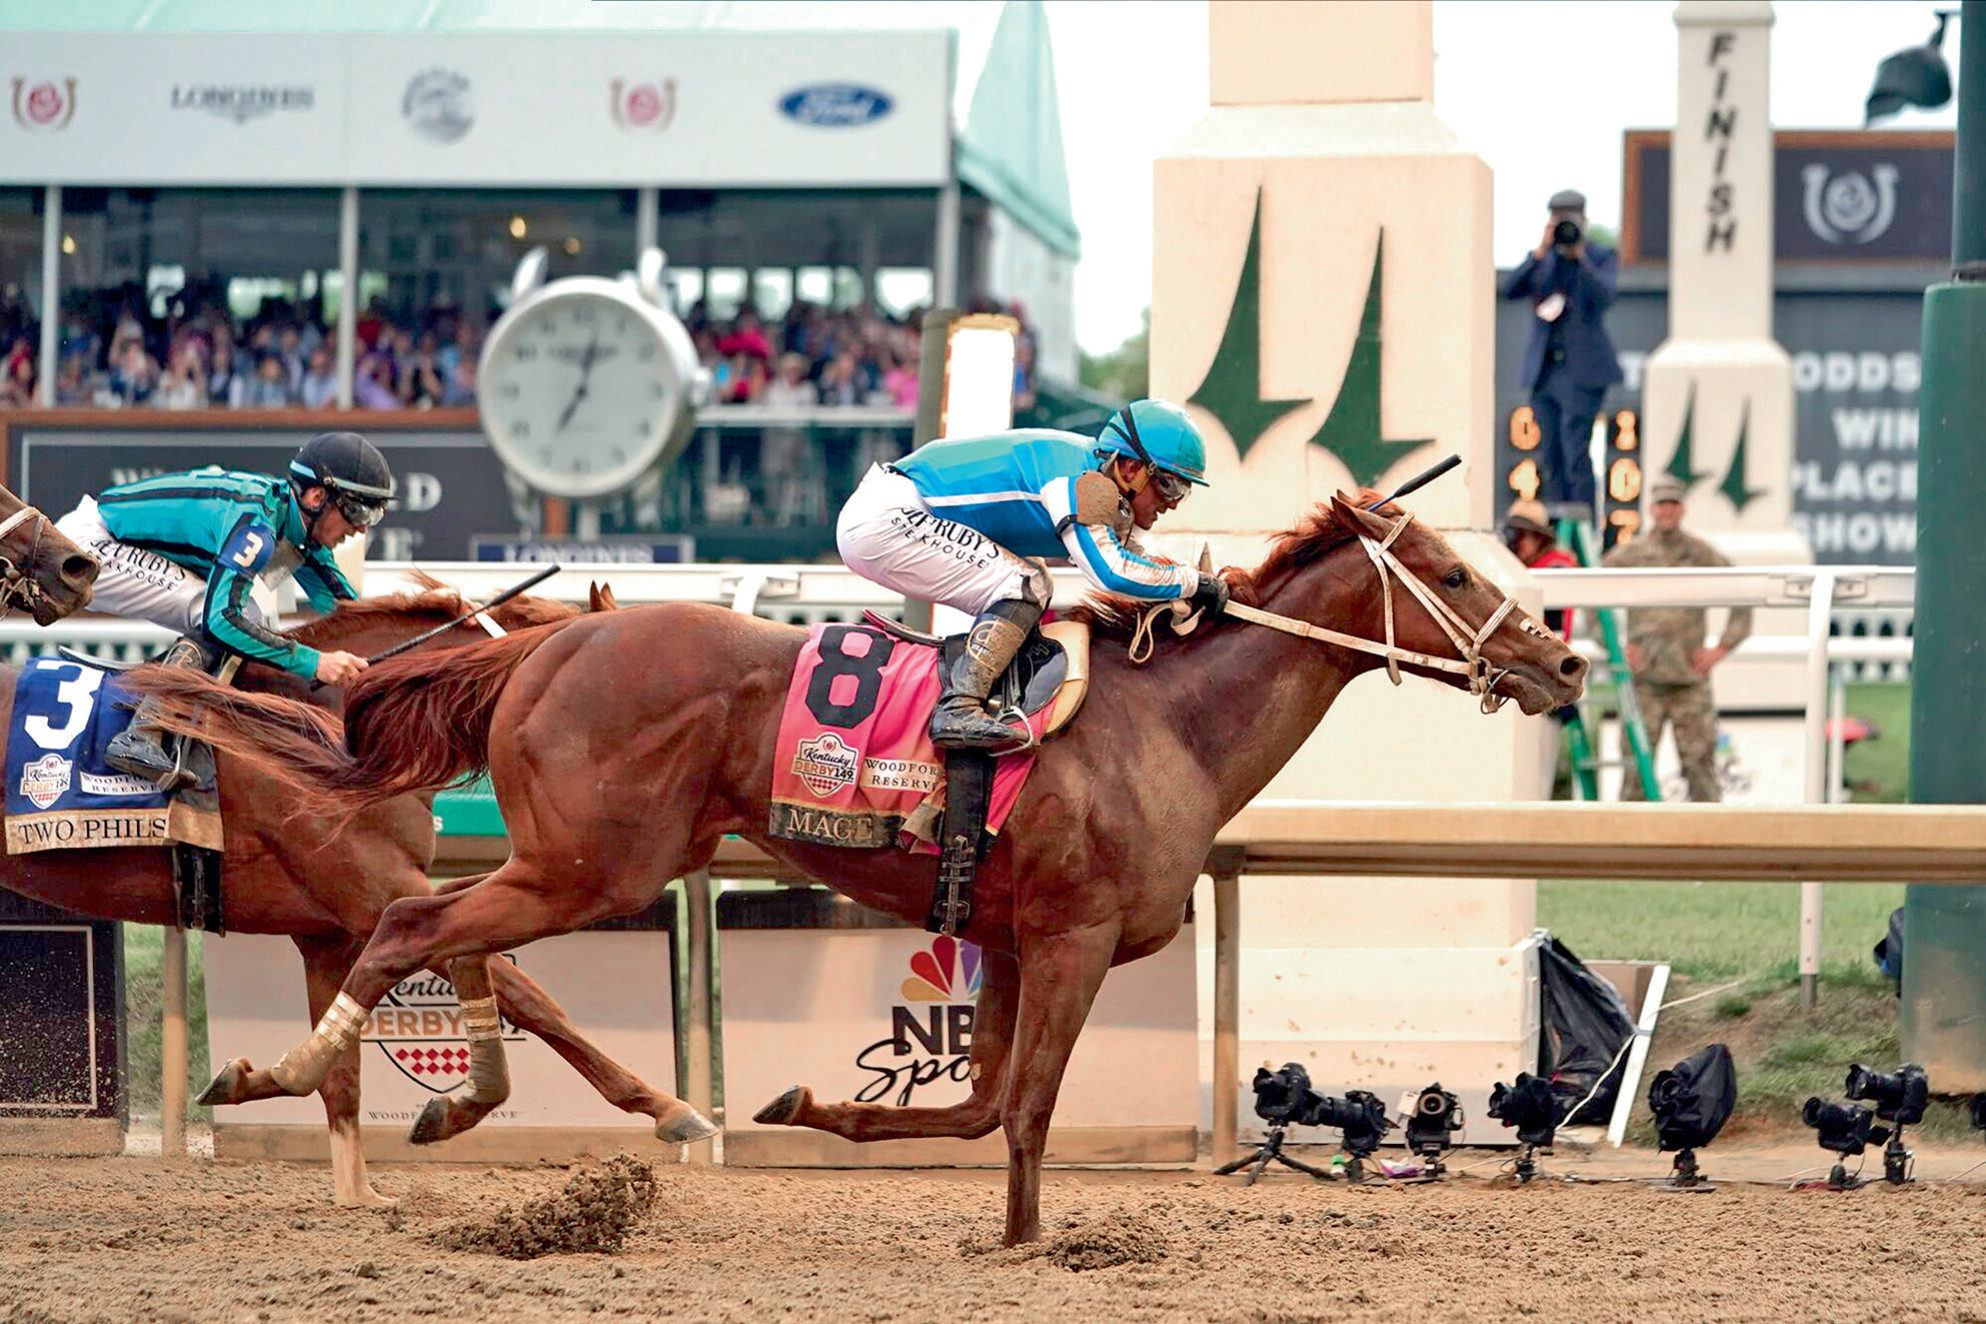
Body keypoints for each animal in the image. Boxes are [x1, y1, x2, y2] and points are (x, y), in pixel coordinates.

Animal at [0, 580, 712, 1206]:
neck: (331, 733)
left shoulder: (330, 932)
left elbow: (341, 1070)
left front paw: (353, 1185)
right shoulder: (377, 896)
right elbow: (533, 999)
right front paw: (669, 1108)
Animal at [137, 491, 1587, 1243]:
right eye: (1458, 573)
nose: (1565, 660)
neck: (1165, 724)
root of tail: (549, 641)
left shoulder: (1006, 935)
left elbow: (971, 1102)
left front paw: (805, 1108)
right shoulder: (1072, 939)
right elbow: (1025, 1109)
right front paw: (1026, 1242)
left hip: (582, 865)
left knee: (428, 934)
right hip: (589, 867)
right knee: (406, 930)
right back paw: (282, 1073)